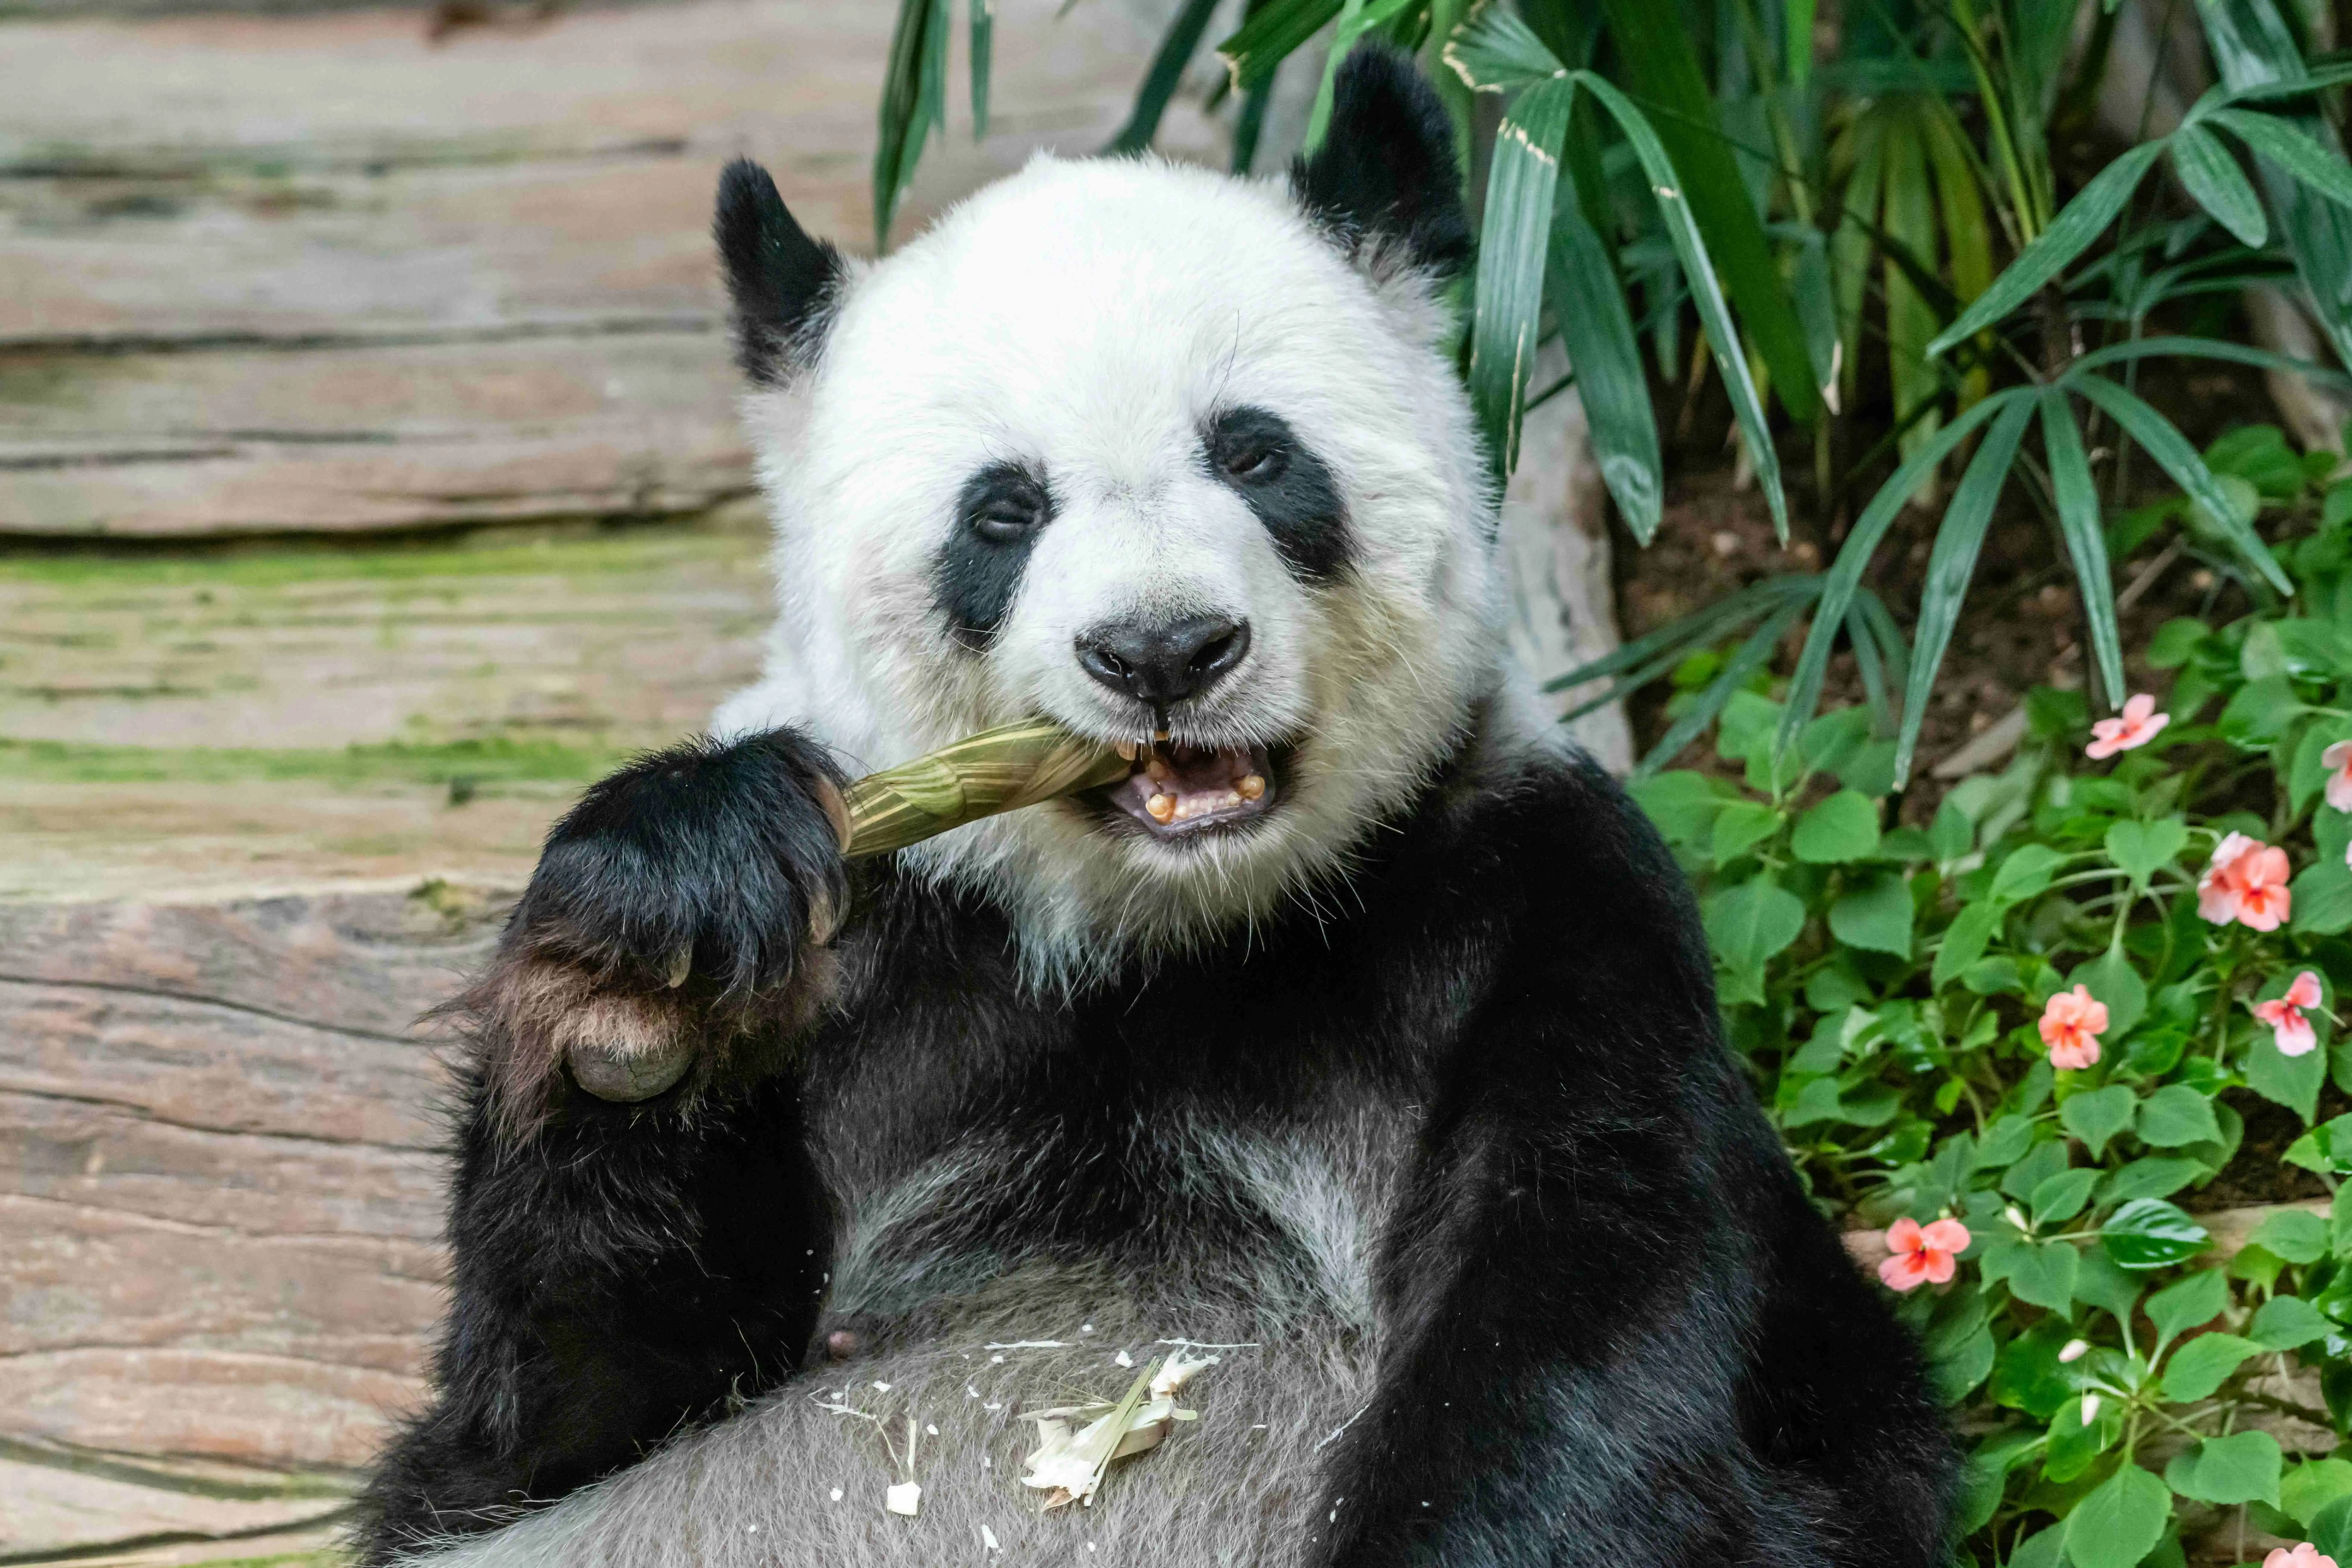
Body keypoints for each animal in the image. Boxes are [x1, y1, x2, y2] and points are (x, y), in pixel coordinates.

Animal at [356, 46, 1955, 1568]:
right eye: (1002, 511)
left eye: (1253, 452)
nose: (1164, 650)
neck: (1158, 934)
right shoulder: (888, 950)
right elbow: (554, 1409)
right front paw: (654, 961)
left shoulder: (1536, 890)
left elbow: (1588, 1317)